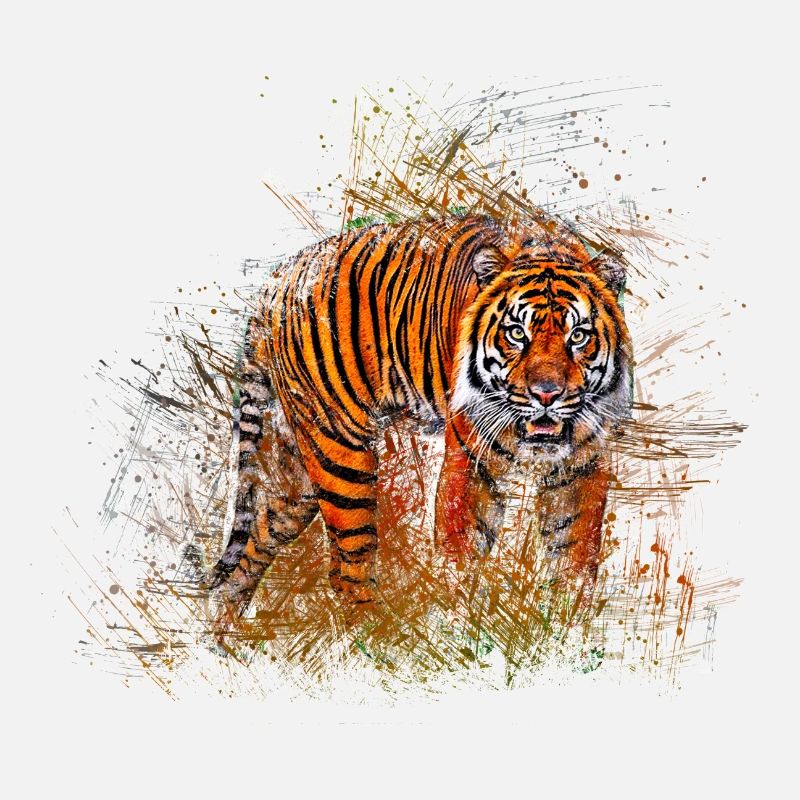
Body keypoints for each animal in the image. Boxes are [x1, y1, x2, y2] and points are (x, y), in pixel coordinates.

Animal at [203, 213, 632, 617]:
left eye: (578, 336)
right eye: (516, 334)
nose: (546, 394)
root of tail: (276, 283)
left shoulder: (583, 467)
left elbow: (575, 559)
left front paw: (566, 628)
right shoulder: (469, 462)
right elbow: (461, 557)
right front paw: (458, 626)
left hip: (299, 468)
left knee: (257, 539)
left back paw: (224, 636)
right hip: (339, 452)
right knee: (349, 568)